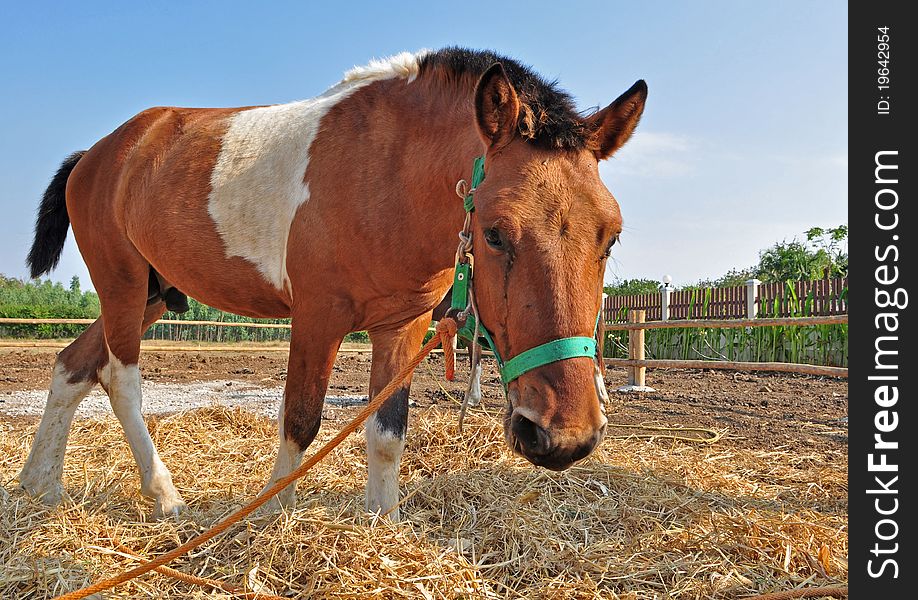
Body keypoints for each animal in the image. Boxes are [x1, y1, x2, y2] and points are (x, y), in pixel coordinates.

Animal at [16, 48, 648, 520]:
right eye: (494, 234)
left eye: (611, 235)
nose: (564, 436)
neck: (387, 171)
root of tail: (97, 154)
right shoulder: (317, 318)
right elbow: (300, 419)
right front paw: (272, 517)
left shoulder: (402, 326)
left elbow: (388, 429)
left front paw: (382, 521)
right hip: (121, 285)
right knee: (120, 379)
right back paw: (163, 494)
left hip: (151, 292)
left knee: (72, 365)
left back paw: (39, 484)